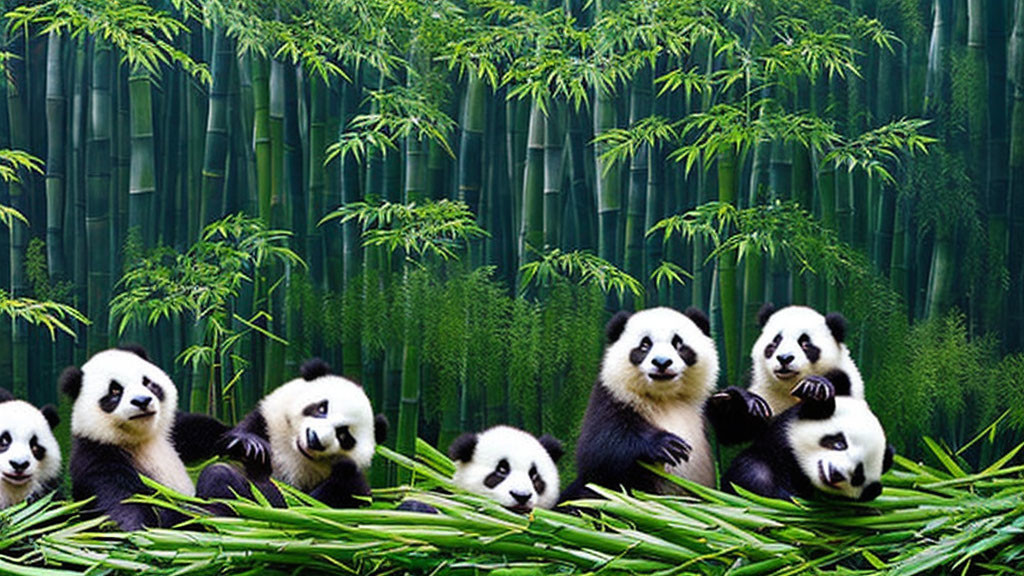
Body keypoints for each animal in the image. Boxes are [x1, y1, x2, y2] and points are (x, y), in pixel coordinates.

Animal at [58, 342, 231, 528]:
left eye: (147, 382)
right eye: (115, 391)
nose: (142, 401)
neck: (141, 438)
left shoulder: (172, 432)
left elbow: (203, 430)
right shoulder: (97, 455)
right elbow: (120, 502)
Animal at [199, 356, 387, 508]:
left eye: (343, 435)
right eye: (322, 408)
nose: (314, 439)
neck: (294, 455)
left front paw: (344, 471)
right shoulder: (264, 423)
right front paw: (249, 444)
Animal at [561, 305, 720, 498]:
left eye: (678, 343)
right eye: (645, 345)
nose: (662, 362)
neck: (665, 398)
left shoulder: (702, 412)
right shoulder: (611, 397)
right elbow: (598, 451)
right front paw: (666, 445)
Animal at [704, 305, 864, 444]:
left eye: (805, 344)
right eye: (775, 342)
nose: (784, 358)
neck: (790, 387)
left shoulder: (843, 380)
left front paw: (814, 388)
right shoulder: (765, 391)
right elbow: (736, 431)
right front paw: (729, 401)